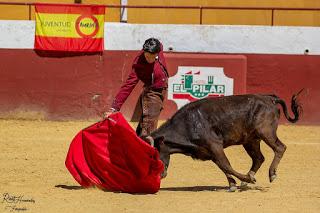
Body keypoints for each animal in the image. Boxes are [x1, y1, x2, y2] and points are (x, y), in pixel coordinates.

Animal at [148, 90, 302, 191]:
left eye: (155, 155)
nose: (159, 176)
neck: (187, 124)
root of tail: (269, 98)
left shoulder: (215, 145)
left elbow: (226, 165)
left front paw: (244, 180)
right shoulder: (209, 152)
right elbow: (223, 166)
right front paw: (234, 184)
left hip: (265, 132)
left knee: (279, 148)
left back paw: (271, 174)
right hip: (250, 140)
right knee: (258, 158)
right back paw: (246, 181)